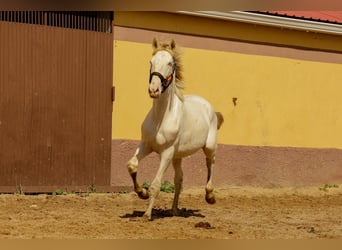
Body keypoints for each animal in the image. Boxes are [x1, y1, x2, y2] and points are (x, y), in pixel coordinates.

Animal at [127, 37, 223, 221]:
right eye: (151, 62)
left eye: (170, 63)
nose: (154, 90)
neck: (161, 118)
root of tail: (208, 106)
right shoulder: (147, 145)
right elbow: (132, 165)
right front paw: (141, 193)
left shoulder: (166, 152)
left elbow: (156, 184)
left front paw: (147, 214)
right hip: (177, 156)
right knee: (179, 179)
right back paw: (174, 210)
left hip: (208, 146)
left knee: (211, 163)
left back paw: (210, 196)